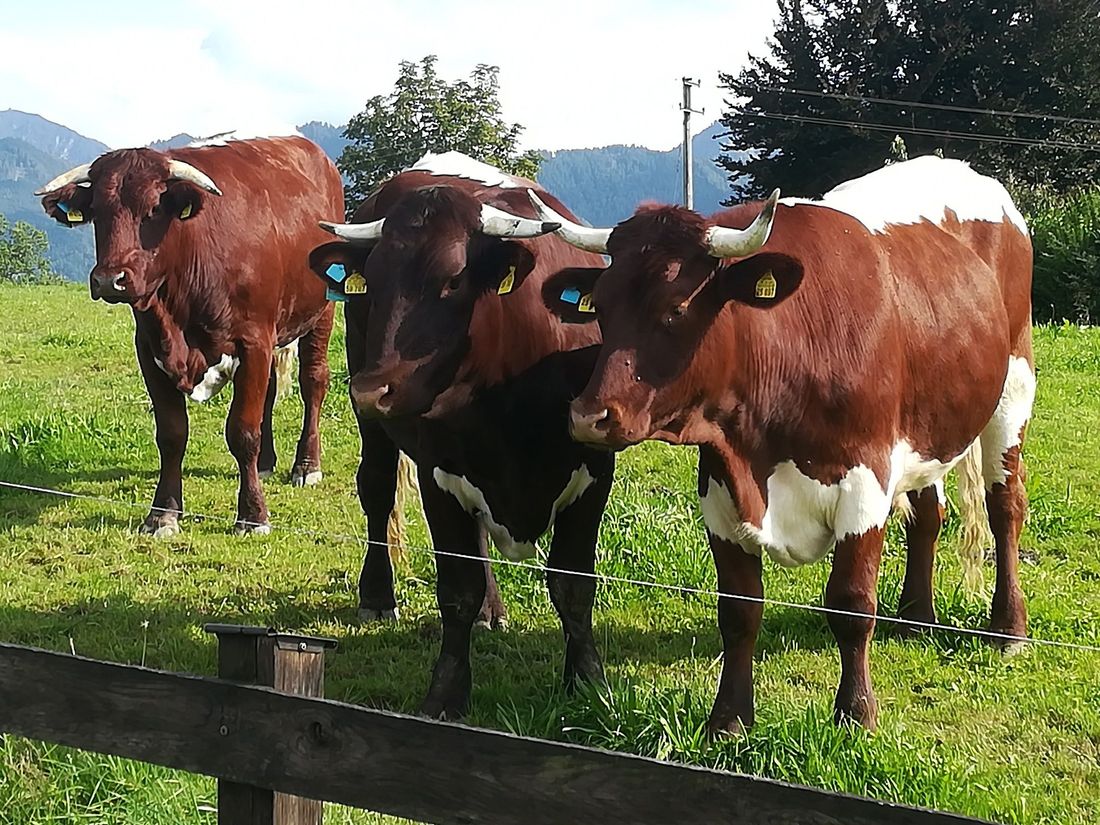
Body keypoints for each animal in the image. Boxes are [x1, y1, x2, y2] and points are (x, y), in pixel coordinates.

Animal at [36, 135, 344, 536]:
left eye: (153, 209)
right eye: (97, 212)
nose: (109, 280)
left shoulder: (254, 341)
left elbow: (243, 432)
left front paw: (253, 514)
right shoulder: (149, 347)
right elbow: (171, 434)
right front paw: (162, 513)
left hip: (322, 310)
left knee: (314, 382)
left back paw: (306, 466)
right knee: (270, 390)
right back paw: (266, 463)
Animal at [309, 152, 614, 719]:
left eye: (452, 280)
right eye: (372, 283)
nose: (372, 389)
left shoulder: (594, 472)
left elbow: (573, 585)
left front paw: (588, 683)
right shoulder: (439, 474)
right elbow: (456, 589)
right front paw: (446, 694)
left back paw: (494, 611)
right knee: (377, 489)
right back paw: (377, 596)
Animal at [531, 155, 1034, 734]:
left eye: (676, 307)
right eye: (602, 308)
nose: (589, 416)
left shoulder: (865, 481)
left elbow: (851, 603)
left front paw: (856, 714)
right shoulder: (719, 489)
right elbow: (739, 609)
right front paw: (728, 719)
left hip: (1013, 388)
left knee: (1005, 506)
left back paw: (1008, 629)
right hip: (927, 425)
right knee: (929, 513)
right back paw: (915, 617)